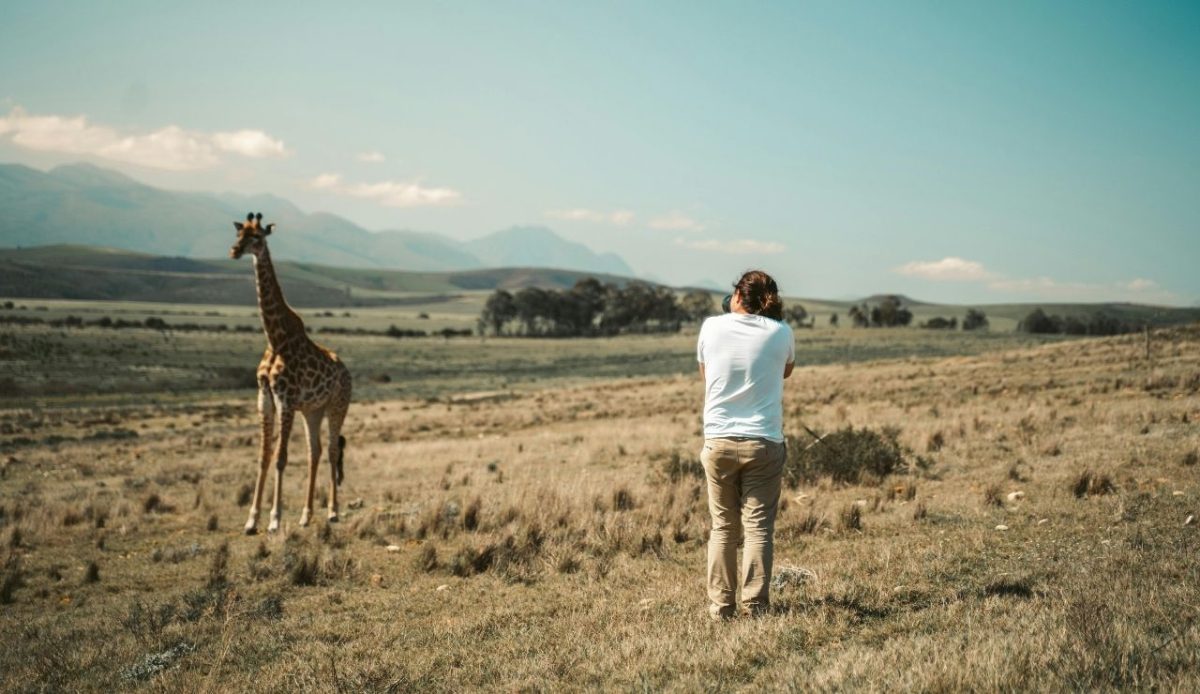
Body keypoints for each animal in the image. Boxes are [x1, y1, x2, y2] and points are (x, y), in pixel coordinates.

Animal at [230, 212, 352, 533]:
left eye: (257, 237)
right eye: (239, 234)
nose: (234, 251)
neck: (276, 338)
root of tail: (347, 371)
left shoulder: (285, 400)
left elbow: (280, 459)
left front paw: (274, 519)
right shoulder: (265, 398)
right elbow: (263, 457)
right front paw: (251, 520)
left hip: (337, 406)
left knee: (332, 450)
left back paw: (333, 511)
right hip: (312, 410)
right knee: (315, 452)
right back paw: (306, 515)